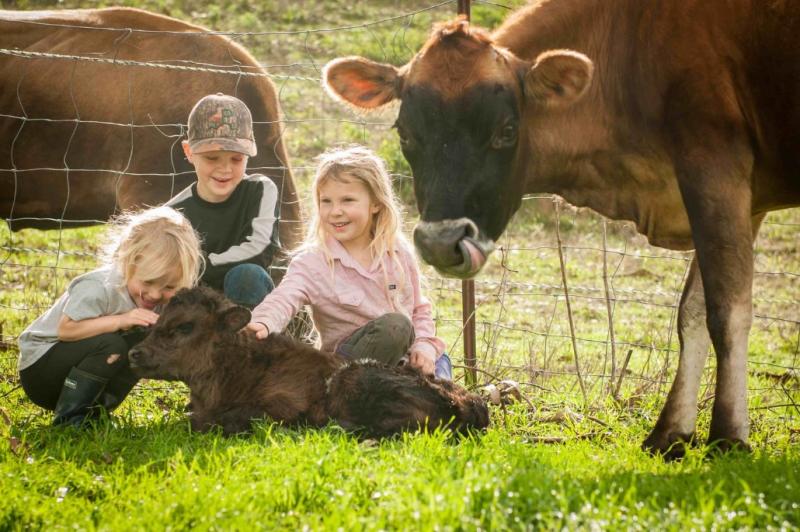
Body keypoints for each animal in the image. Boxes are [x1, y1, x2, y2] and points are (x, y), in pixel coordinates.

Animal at [127, 286, 488, 436]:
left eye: (185, 326)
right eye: (158, 320)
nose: (135, 353)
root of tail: (472, 403)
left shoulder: (282, 406)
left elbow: (217, 420)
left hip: (351, 379)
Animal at [324, 0, 800, 458]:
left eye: (507, 131)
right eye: (405, 133)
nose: (441, 242)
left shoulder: (716, 167)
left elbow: (726, 310)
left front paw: (729, 437)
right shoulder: (736, 194)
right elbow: (692, 313)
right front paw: (671, 434)